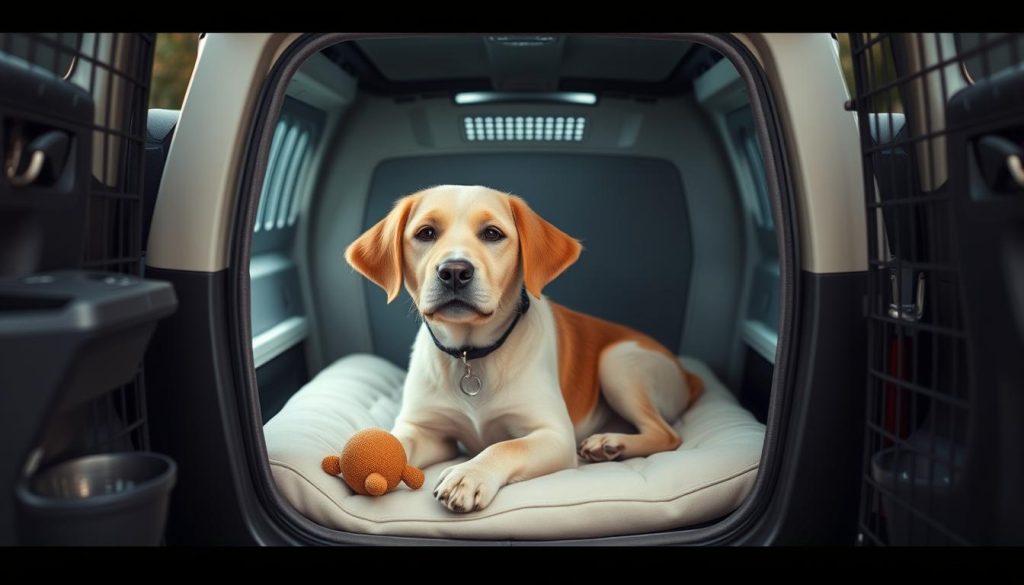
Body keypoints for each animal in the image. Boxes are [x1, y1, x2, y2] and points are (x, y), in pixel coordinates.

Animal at [344, 184, 704, 512]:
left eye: (492, 233)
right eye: (426, 233)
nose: (455, 271)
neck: (471, 354)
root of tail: (688, 375)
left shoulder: (555, 435)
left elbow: (505, 447)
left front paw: (469, 475)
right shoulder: (425, 429)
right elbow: (396, 440)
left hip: (618, 362)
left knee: (667, 435)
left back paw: (610, 443)